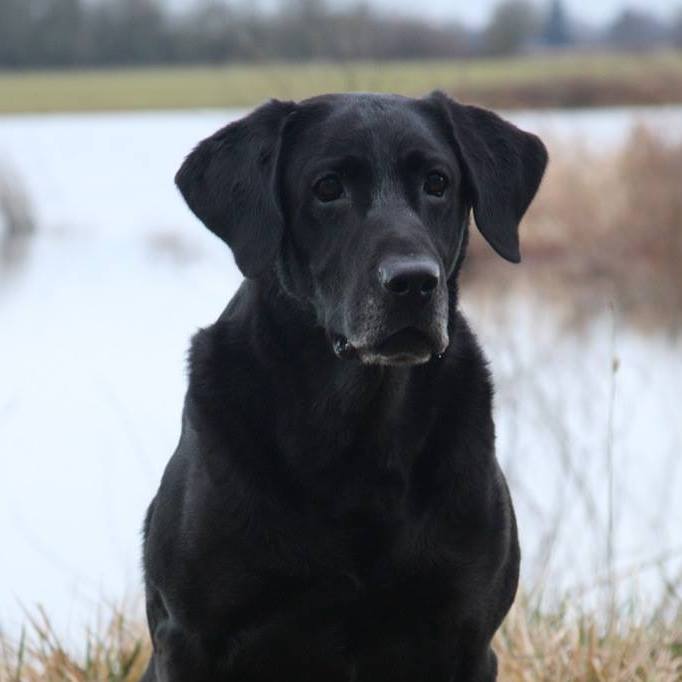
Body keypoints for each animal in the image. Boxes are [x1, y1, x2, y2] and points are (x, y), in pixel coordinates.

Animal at [141, 91, 544, 680]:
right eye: (327, 188)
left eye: (438, 182)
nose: (414, 282)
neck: (359, 427)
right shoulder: (190, 637)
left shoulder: (467, 637)